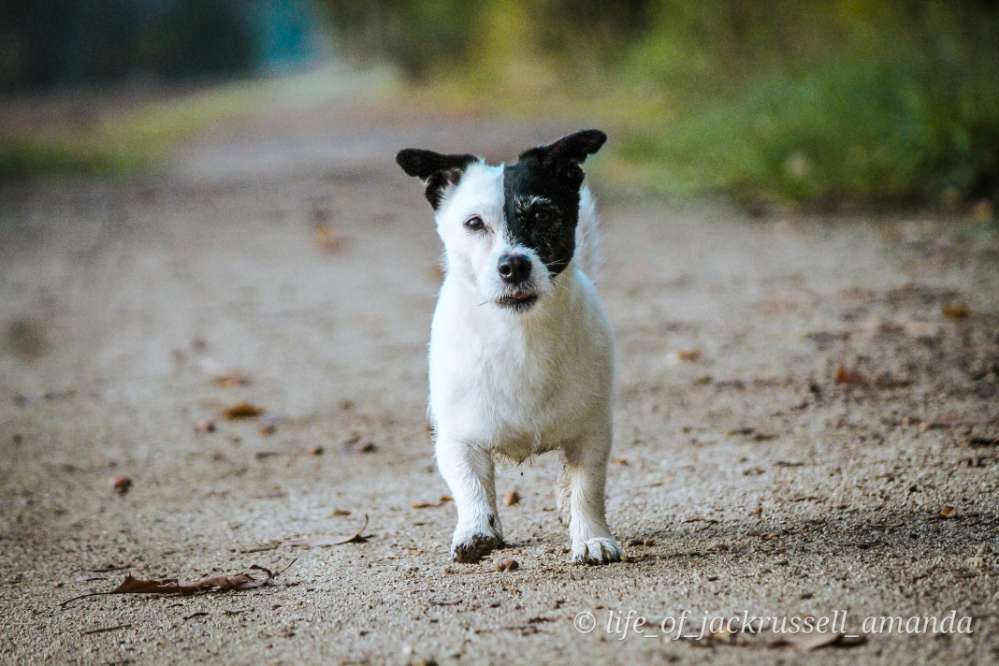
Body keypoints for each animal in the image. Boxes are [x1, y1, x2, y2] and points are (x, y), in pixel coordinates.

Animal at [396, 128, 616, 560]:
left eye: (542, 215)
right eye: (474, 223)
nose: (513, 265)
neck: (519, 335)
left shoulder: (592, 433)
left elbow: (586, 487)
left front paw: (591, 537)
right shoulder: (456, 437)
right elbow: (471, 486)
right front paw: (476, 530)